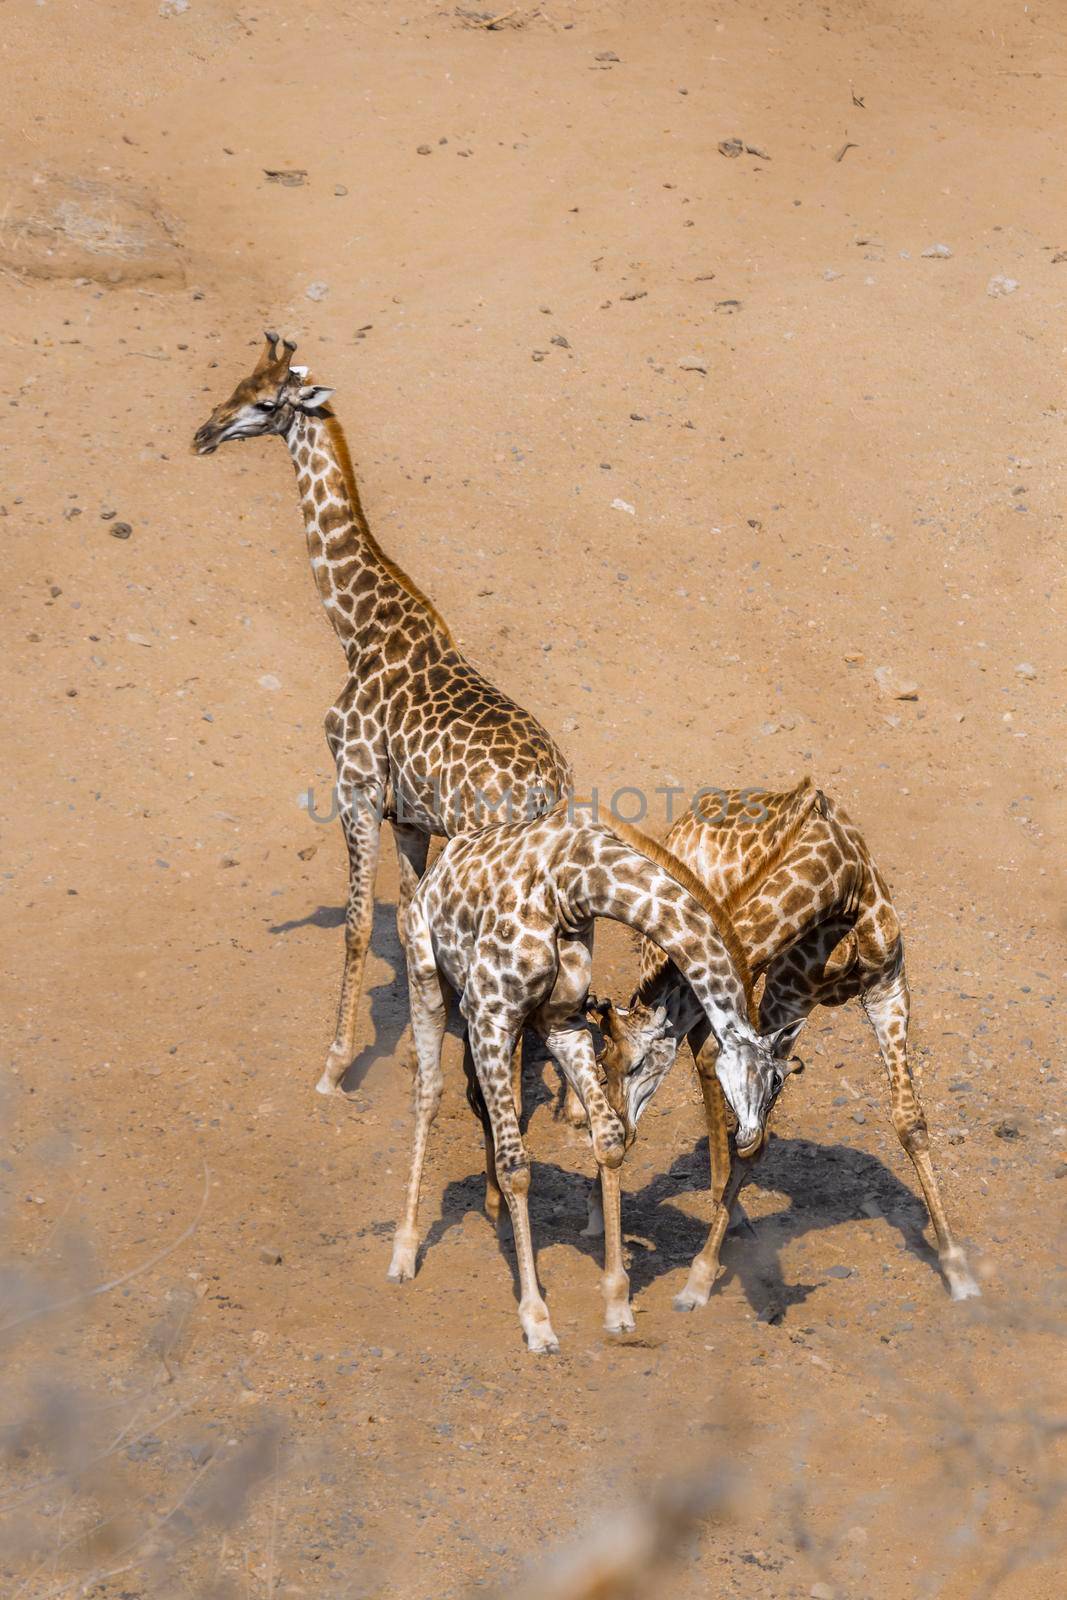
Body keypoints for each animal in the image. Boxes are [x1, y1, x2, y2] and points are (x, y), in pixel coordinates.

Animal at [195, 331, 572, 1094]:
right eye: (236, 383)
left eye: (267, 403)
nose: (203, 434)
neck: (359, 628)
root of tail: (548, 791)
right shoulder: (408, 817)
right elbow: (403, 929)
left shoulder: (355, 788)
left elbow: (360, 923)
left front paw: (334, 1065)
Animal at [385, 800, 799, 1350]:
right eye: (770, 1081)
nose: (752, 1140)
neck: (573, 883)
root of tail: (441, 864)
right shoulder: (493, 1014)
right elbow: (518, 1166)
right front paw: (537, 1320)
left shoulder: (561, 1022)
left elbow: (608, 1138)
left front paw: (617, 1304)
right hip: (427, 973)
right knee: (429, 1092)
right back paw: (403, 1253)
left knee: (482, 1099)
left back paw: (496, 1217)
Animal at [588, 777, 979, 1312]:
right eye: (606, 1062)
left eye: (633, 1064)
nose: (622, 1132)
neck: (839, 881)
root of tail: (688, 820)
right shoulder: (784, 995)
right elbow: (754, 1144)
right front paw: (699, 1278)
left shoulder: (887, 988)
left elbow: (911, 1123)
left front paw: (957, 1268)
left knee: (701, 1047)